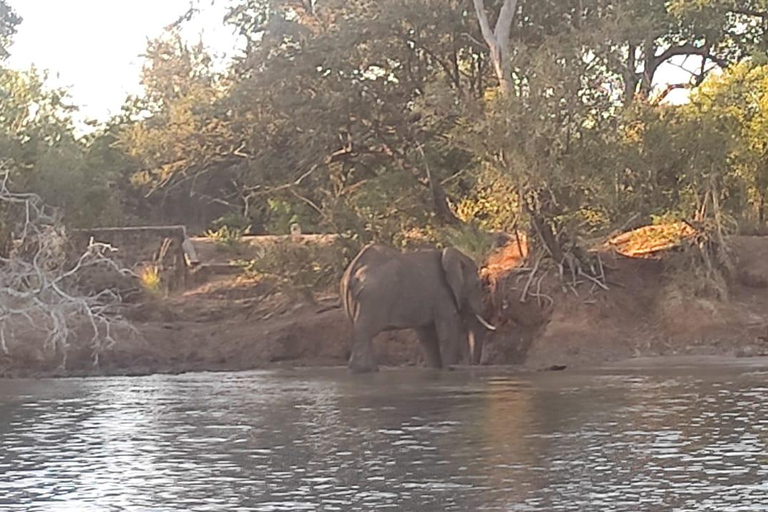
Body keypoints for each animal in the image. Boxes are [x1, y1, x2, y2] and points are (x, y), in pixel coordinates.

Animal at [340, 242, 496, 374]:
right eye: (477, 284)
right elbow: (448, 332)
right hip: (375, 296)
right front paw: (448, 369)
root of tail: (352, 270)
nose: (473, 364)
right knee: (365, 332)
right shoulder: (442, 295)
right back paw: (364, 370)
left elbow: (427, 335)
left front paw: (436, 369)